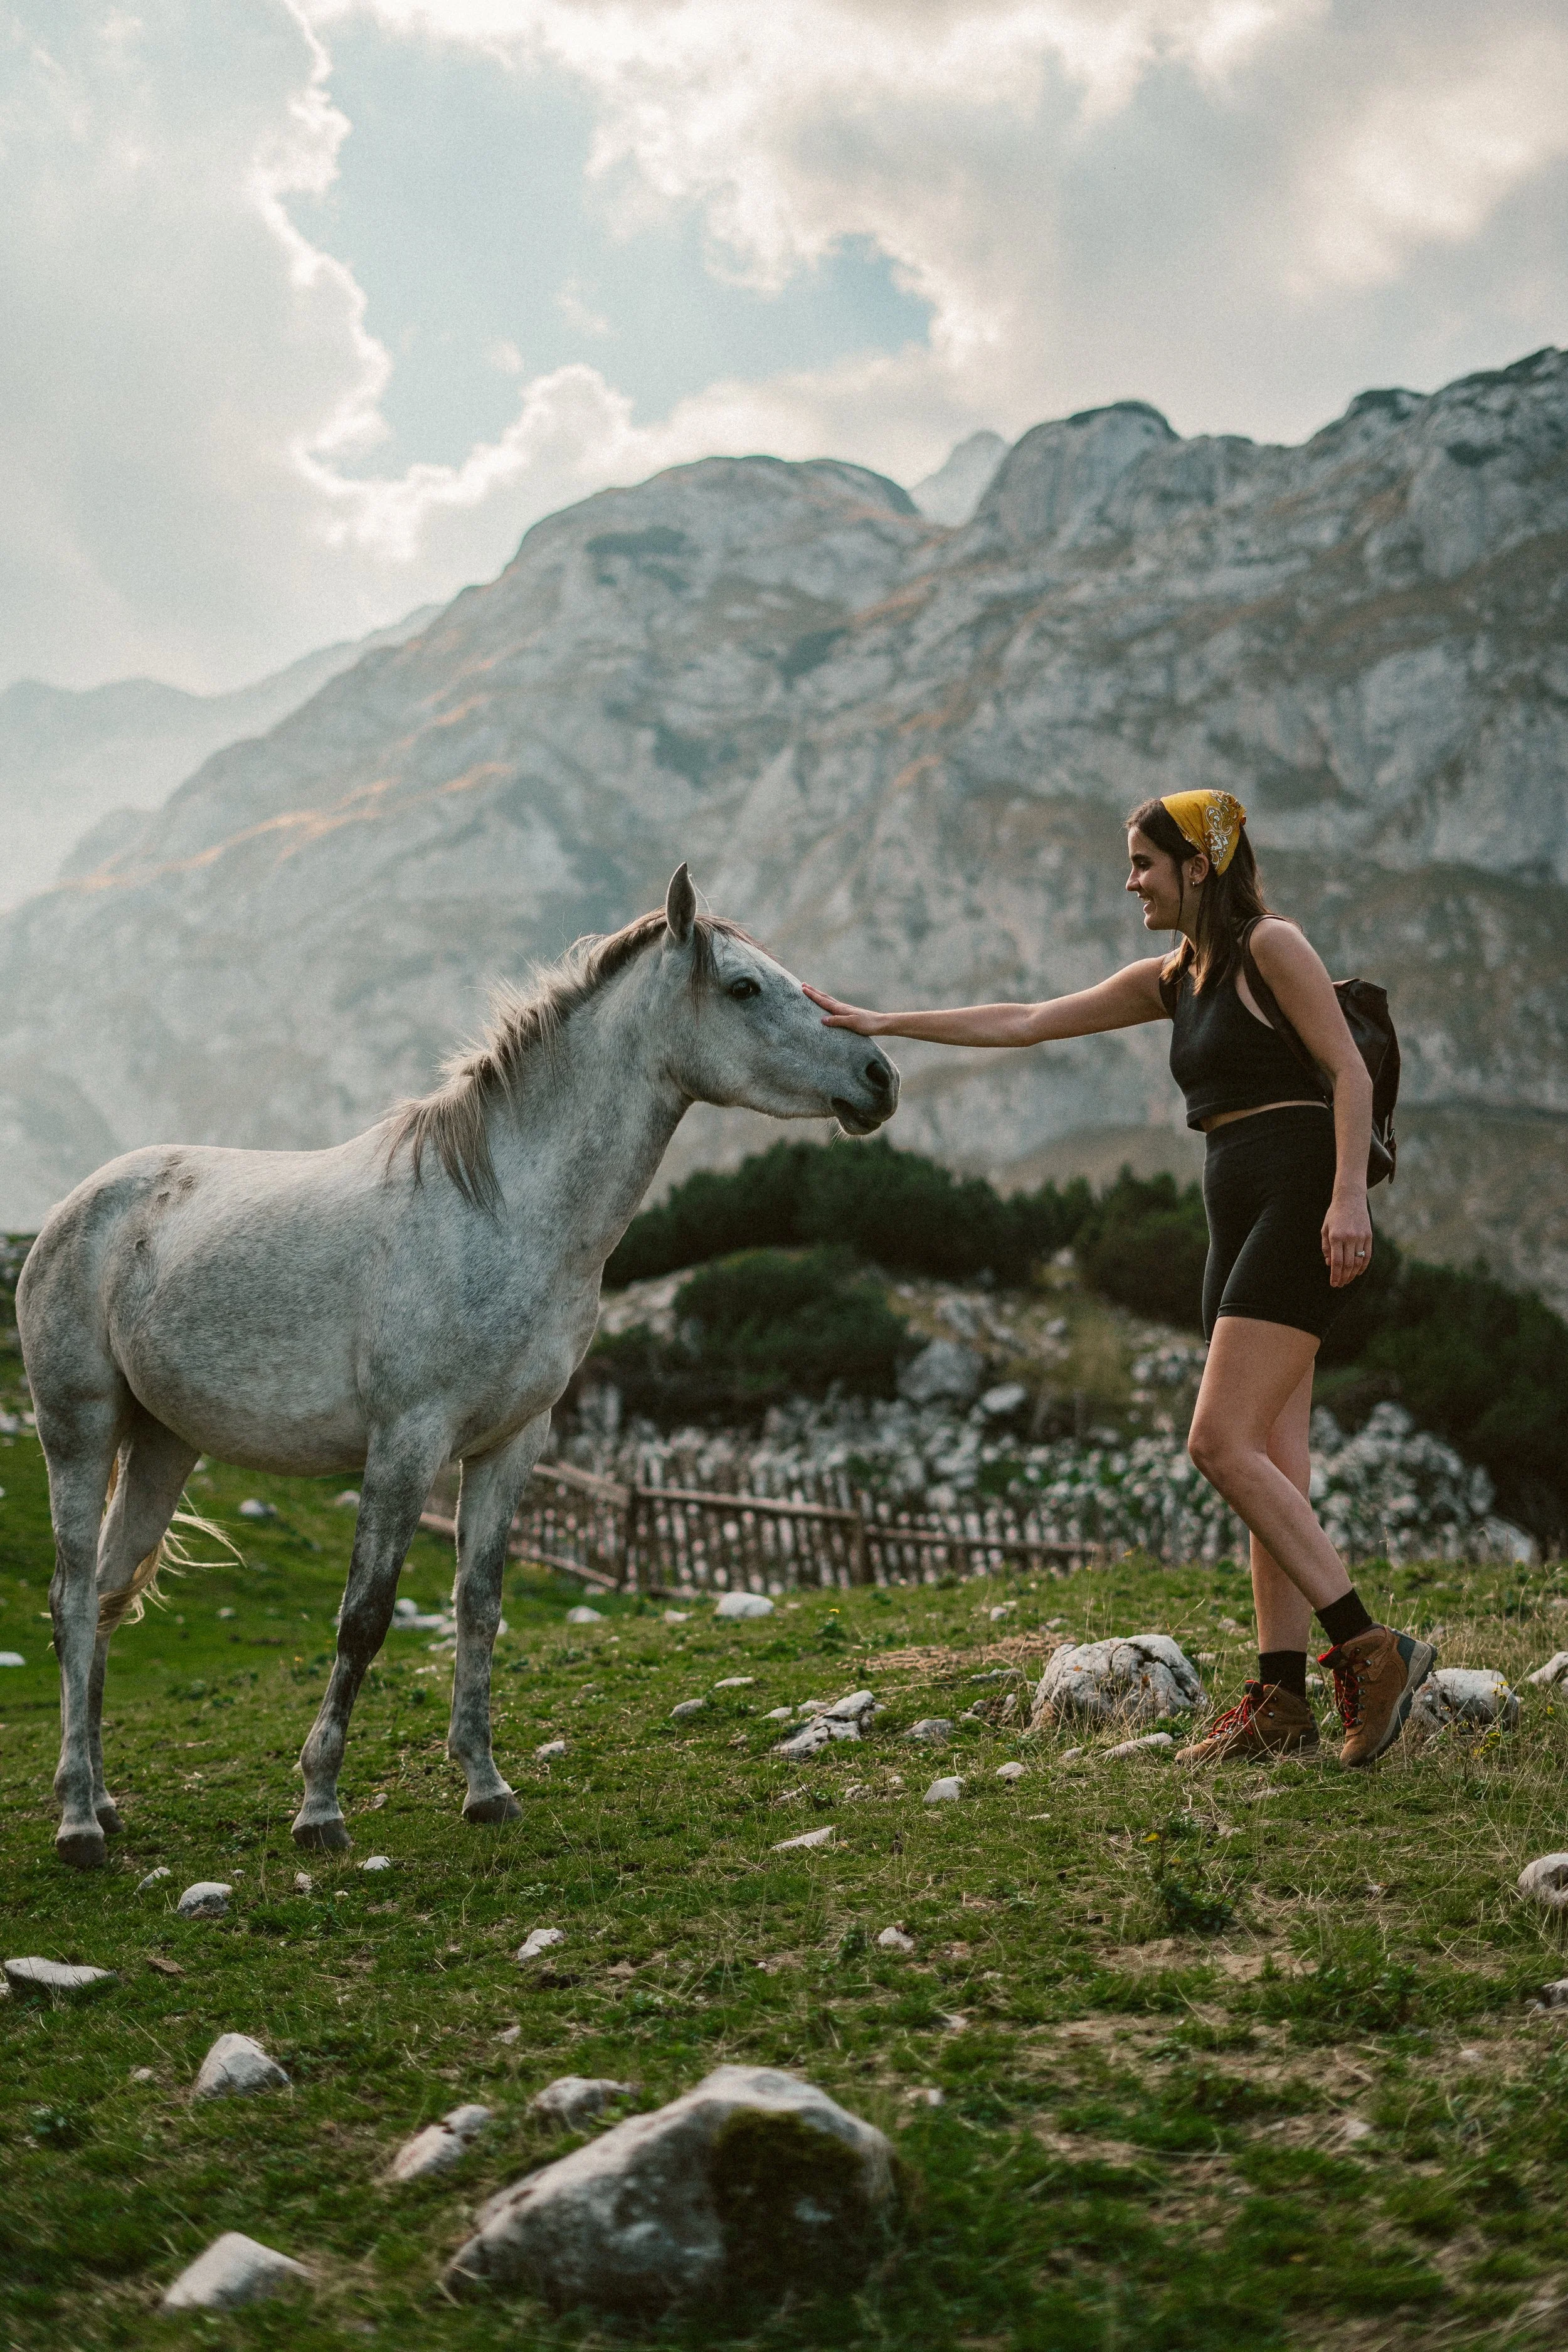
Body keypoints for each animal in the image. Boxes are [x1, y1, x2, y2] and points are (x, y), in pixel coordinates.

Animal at [18, 866, 899, 1868]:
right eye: (745, 987)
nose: (880, 1078)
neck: (504, 1211)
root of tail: (79, 1206)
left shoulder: (512, 1444)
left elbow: (479, 1608)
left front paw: (485, 1787)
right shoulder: (407, 1443)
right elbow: (365, 1616)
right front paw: (319, 1805)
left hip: (164, 1445)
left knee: (108, 1597)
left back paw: (102, 1799)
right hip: (78, 1433)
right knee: (72, 1600)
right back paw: (78, 1823)